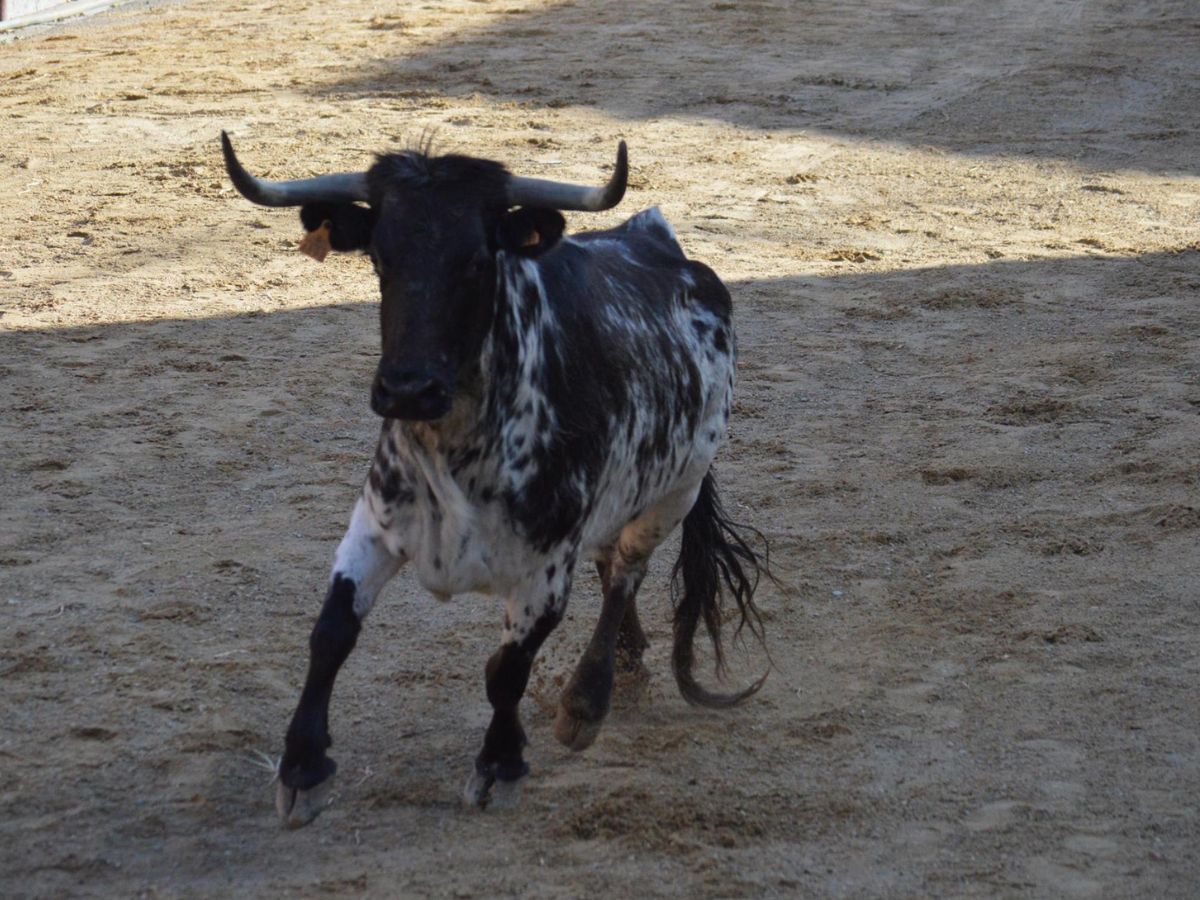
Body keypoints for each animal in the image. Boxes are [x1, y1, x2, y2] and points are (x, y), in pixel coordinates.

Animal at [219, 130, 768, 830]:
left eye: (479, 261)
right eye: (379, 256)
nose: (408, 389)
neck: (460, 441)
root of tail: (660, 242)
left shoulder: (545, 571)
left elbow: (507, 670)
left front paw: (500, 765)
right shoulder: (374, 524)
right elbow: (331, 633)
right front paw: (302, 769)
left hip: (676, 489)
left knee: (626, 571)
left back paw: (587, 701)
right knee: (610, 562)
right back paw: (628, 664)